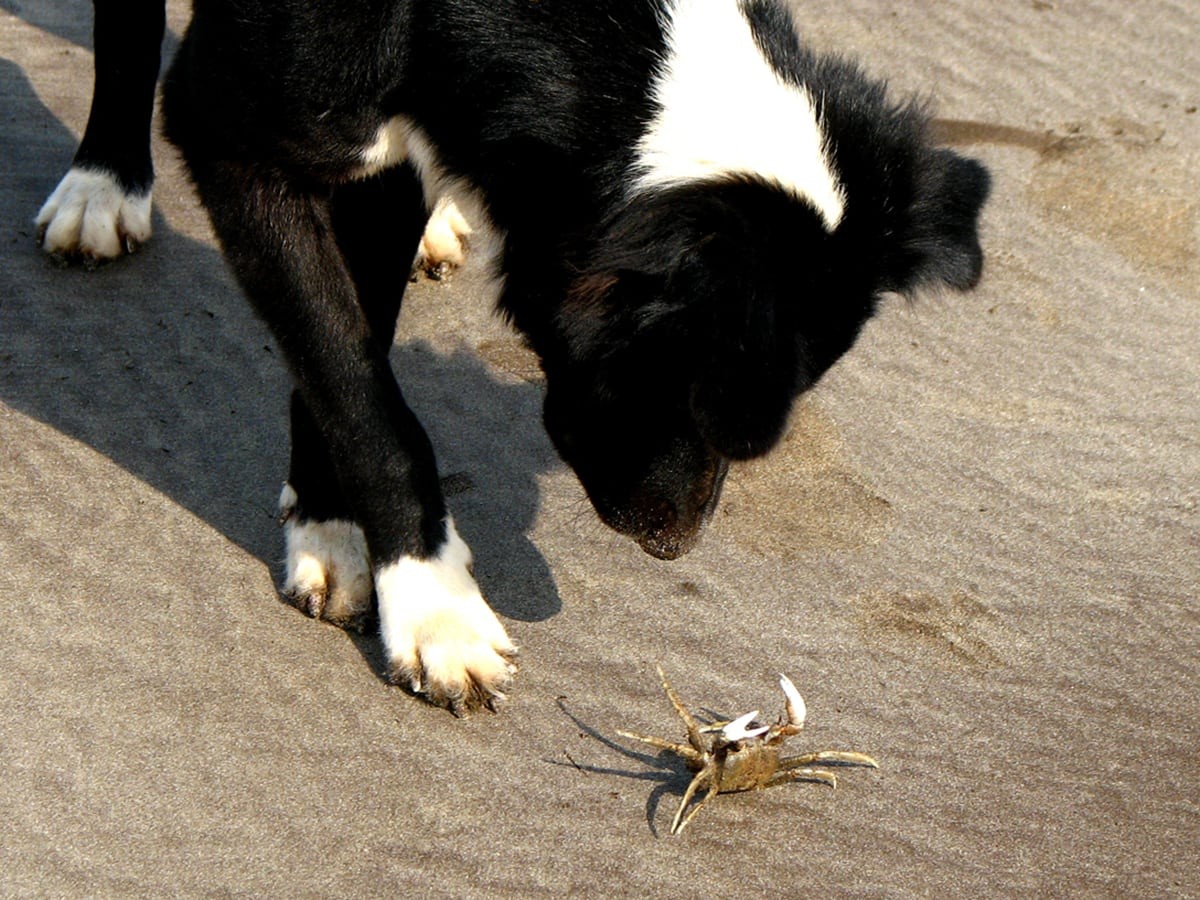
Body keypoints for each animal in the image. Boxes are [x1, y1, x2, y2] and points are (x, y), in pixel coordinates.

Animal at [51, 1, 988, 720]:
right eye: (690, 395)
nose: (675, 546)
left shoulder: (385, 160)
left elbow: (350, 354)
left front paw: (330, 522)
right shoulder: (229, 131)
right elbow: (361, 395)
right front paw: (432, 605)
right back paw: (103, 181)